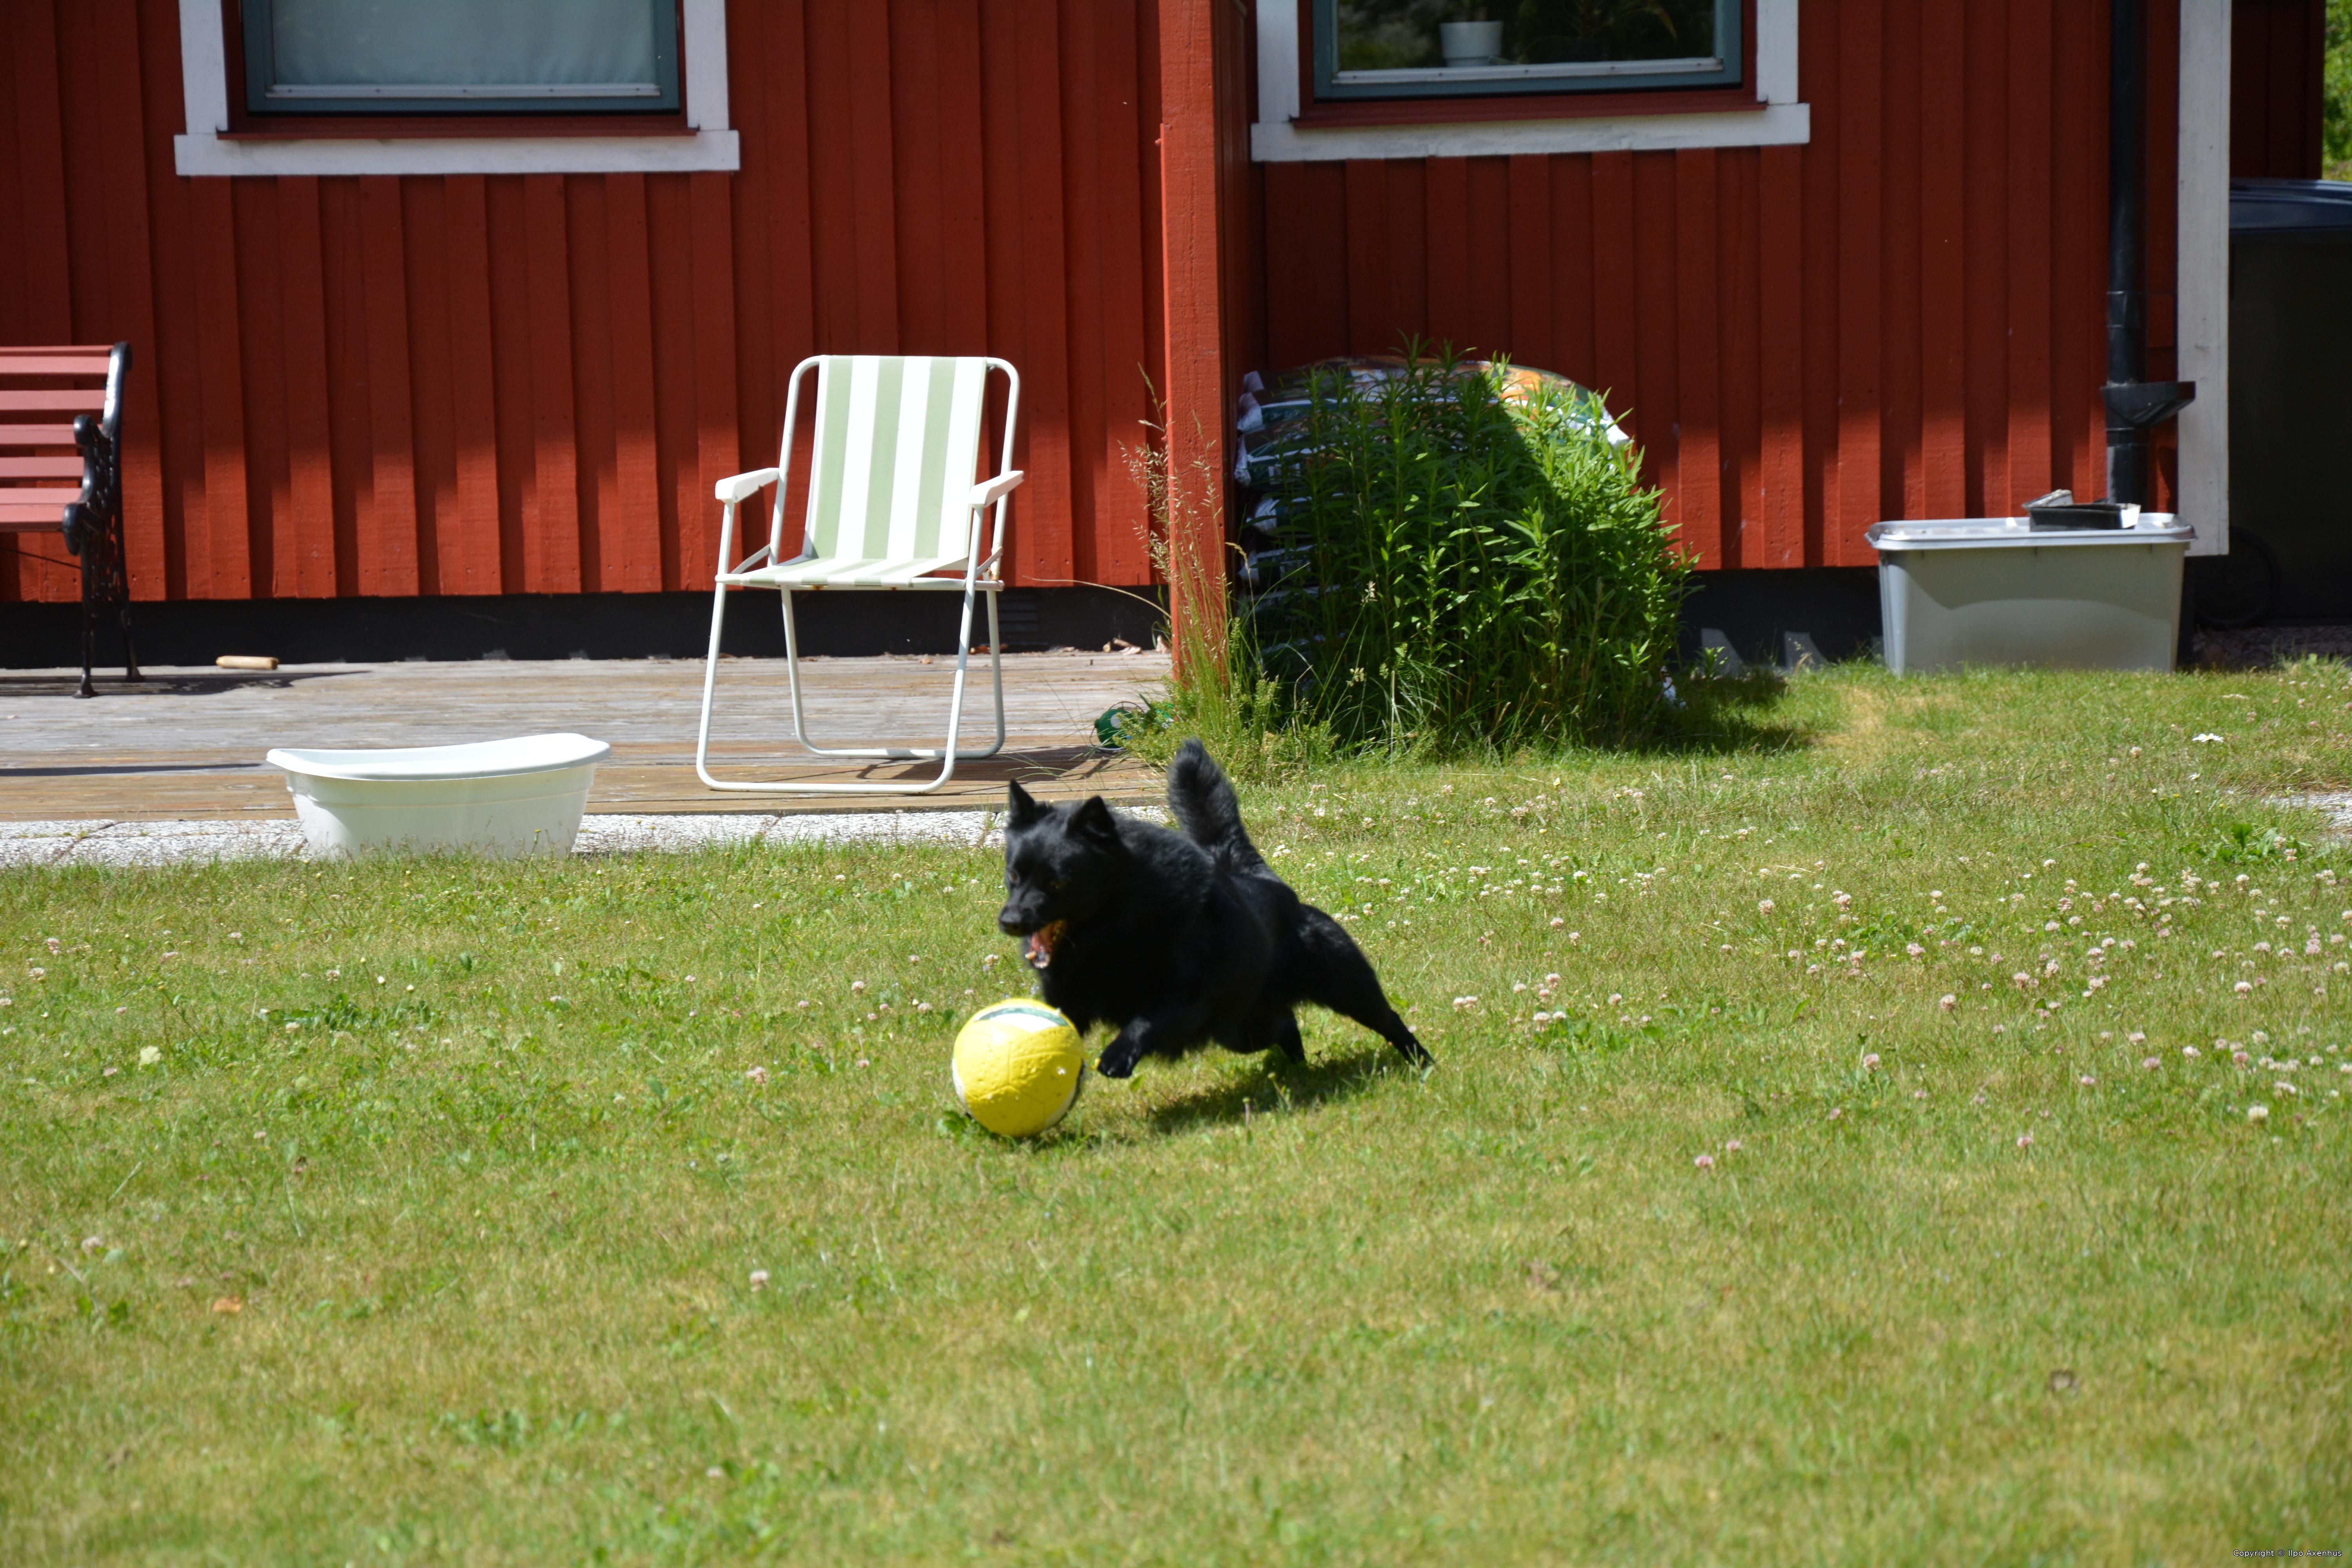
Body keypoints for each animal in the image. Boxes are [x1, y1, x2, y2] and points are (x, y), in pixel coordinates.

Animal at [996, 739, 1431, 1078]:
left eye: (1056, 883)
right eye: (1014, 876)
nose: (1011, 922)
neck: (1113, 932)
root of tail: (1266, 882)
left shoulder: (1184, 995)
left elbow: (1145, 1020)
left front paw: (1118, 1055)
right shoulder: (1068, 998)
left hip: (1344, 983)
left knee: (1387, 1019)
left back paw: (1422, 1062)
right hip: (1241, 1029)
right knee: (1285, 1024)